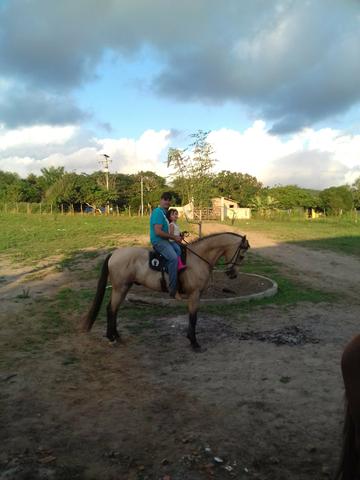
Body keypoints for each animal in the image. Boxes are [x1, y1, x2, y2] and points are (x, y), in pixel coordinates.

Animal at [81, 232, 250, 348]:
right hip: (120, 288)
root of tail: (114, 253)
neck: (198, 258)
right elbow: (193, 318)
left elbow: (193, 317)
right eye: (241, 255)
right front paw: (194, 342)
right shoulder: (194, 294)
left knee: (114, 309)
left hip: (124, 288)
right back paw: (111, 337)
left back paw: (117, 336)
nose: (233, 274)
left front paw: (191, 339)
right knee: (111, 309)